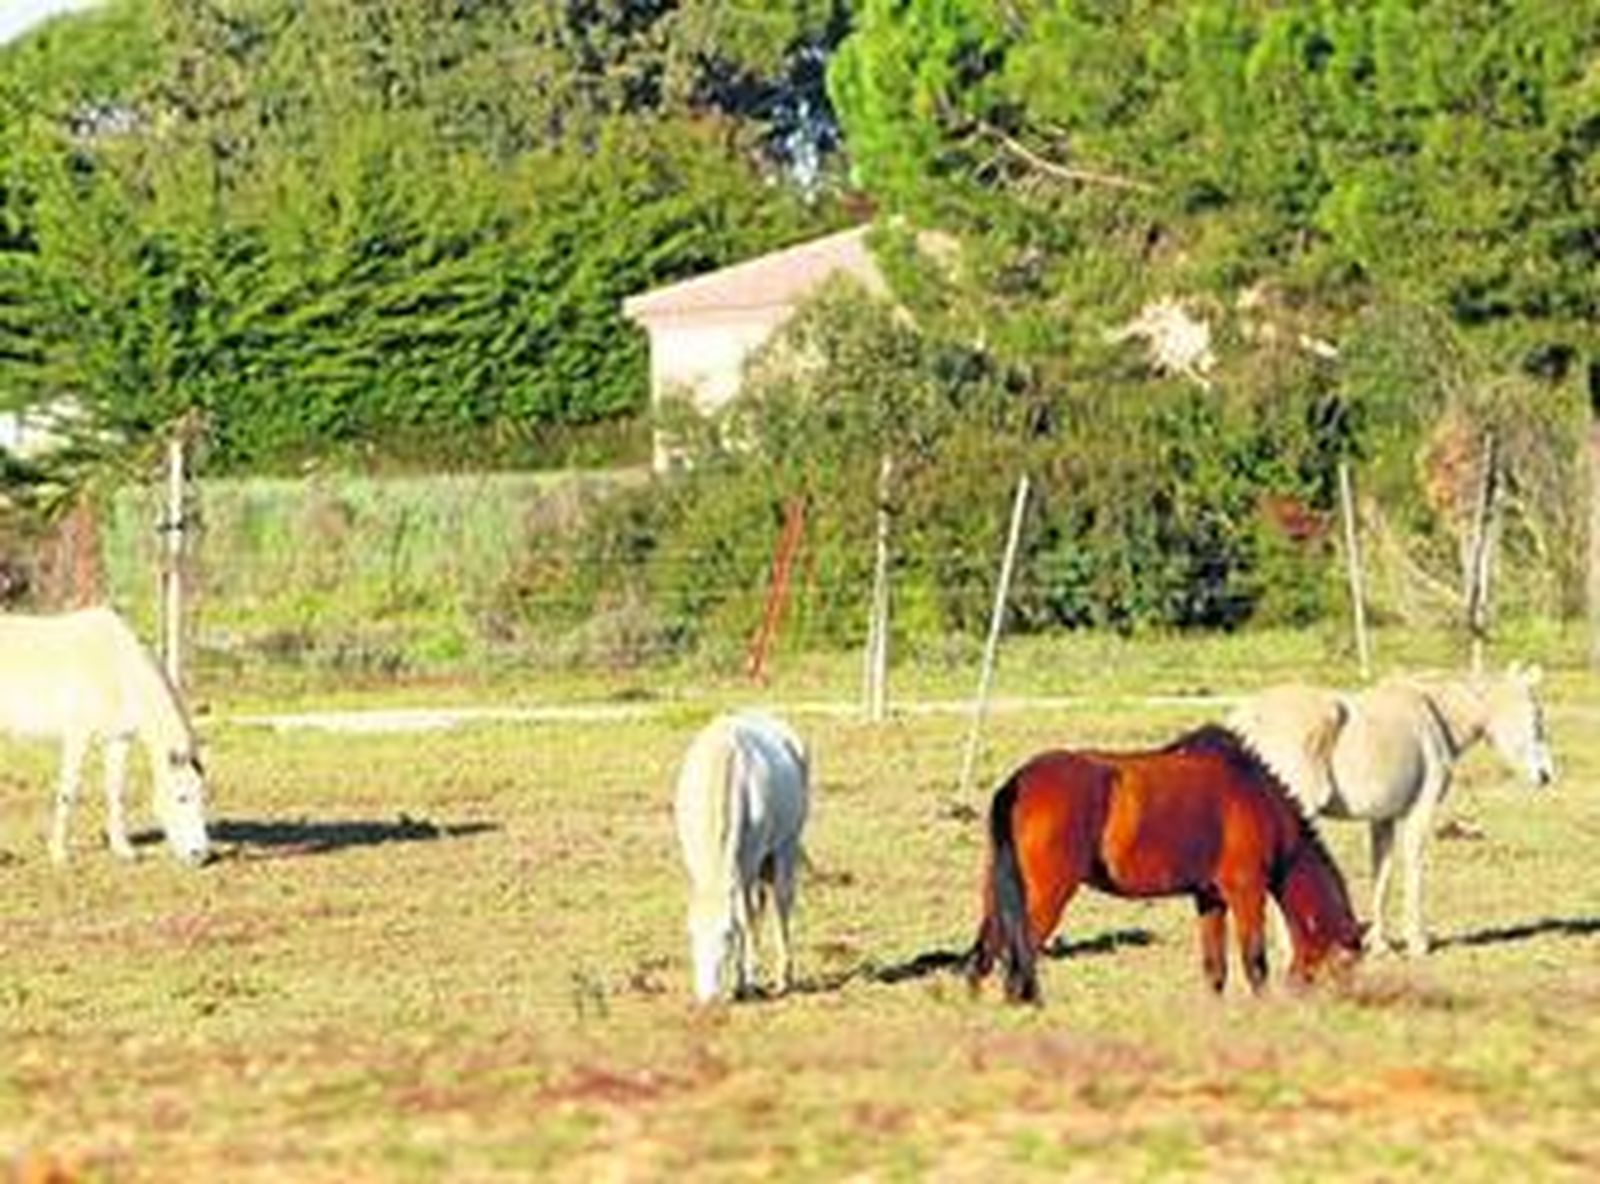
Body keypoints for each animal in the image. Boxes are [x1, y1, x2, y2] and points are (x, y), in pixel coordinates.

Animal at [0, 607, 210, 866]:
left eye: (203, 798)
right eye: (182, 797)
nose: (200, 855)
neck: (116, 669)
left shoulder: (118, 741)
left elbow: (116, 791)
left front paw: (124, 850)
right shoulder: (77, 738)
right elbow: (69, 791)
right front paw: (59, 853)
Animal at [673, 711, 809, 1003]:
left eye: (727, 935)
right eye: (691, 933)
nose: (708, 997)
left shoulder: (747, 865)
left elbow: (745, 917)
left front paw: (743, 982)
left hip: (785, 847)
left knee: (780, 902)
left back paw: (782, 976)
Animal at [968, 725, 1362, 1004]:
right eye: (1346, 962)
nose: (1348, 1007)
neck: (1256, 798)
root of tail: (1018, 783)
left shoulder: (1209, 898)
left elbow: (1215, 968)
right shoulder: (1246, 891)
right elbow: (1255, 962)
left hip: (997, 898)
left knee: (982, 956)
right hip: (1044, 899)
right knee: (1018, 962)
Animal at [1226, 663, 1555, 956]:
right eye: (1536, 716)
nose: (1546, 775)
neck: (1435, 717)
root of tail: (1246, 718)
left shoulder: (1382, 818)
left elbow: (1381, 874)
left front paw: (1379, 944)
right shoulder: (1419, 812)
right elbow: (1413, 868)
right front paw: (1417, 942)